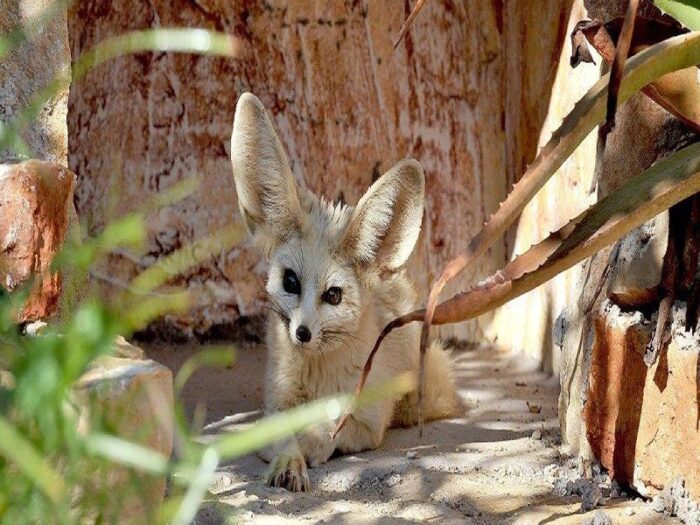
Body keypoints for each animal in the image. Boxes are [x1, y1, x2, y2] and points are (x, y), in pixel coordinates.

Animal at [228, 94, 460, 492]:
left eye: (333, 295)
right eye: (291, 282)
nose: (302, 333)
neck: (317, 376)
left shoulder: (368, 422)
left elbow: (325, 431)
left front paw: (306, 447)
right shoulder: (275, 405)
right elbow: (281, 434)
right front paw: (287, 461)